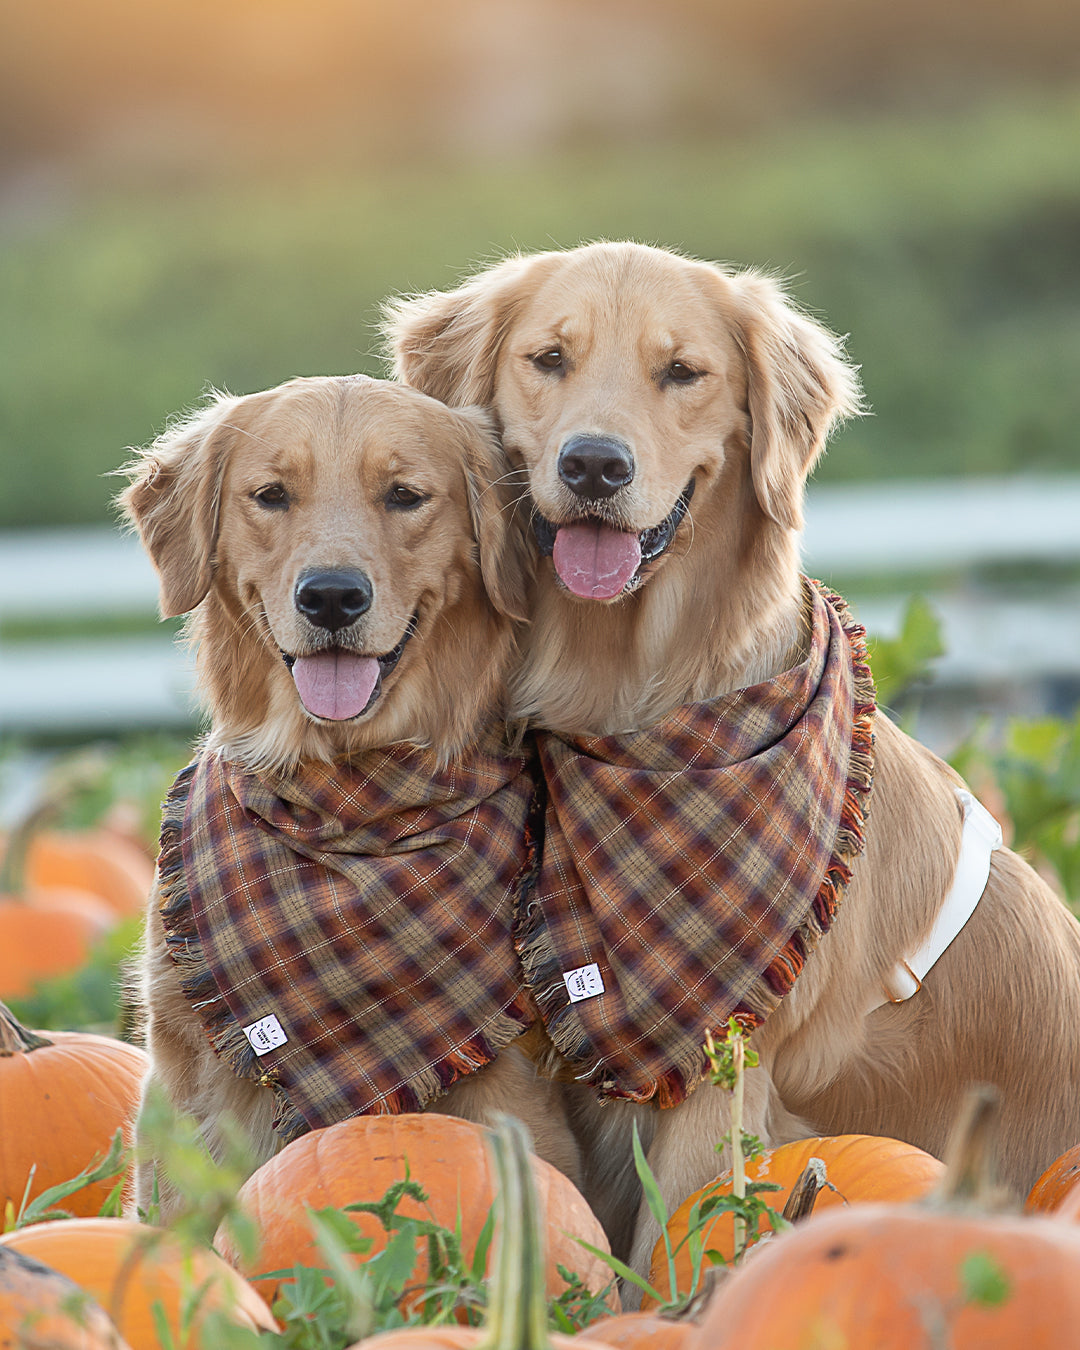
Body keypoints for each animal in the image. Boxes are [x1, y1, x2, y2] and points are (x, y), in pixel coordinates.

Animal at [118, 372, 577, 1215]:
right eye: (272, 495)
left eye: (404, 495)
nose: (331, 597)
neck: (345, 797)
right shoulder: (191, 1091)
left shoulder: (512, 1087)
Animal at [383, 243, 1080, 1285]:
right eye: (549, 359)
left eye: (683, 372)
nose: (595, 463)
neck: (620, 700)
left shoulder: (718, 1065)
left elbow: (678, 1240)